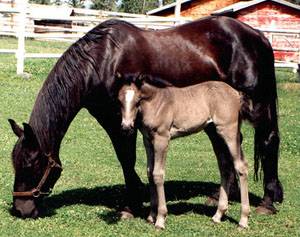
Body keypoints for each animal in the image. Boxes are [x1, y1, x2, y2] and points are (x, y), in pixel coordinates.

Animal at [118, 74, 251, 230]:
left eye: (137, 100)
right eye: (119, 99)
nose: (126, 126)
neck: (156, 103)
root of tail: (236, 93)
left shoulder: (162, 139)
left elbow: (158, 174)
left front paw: (160, 219)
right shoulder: (148, 140)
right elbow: (150, 172)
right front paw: (151, 216)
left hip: (229, 131)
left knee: (240, 166)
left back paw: (243, 220)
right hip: (216, 134)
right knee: (225, 167)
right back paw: (218, 215)